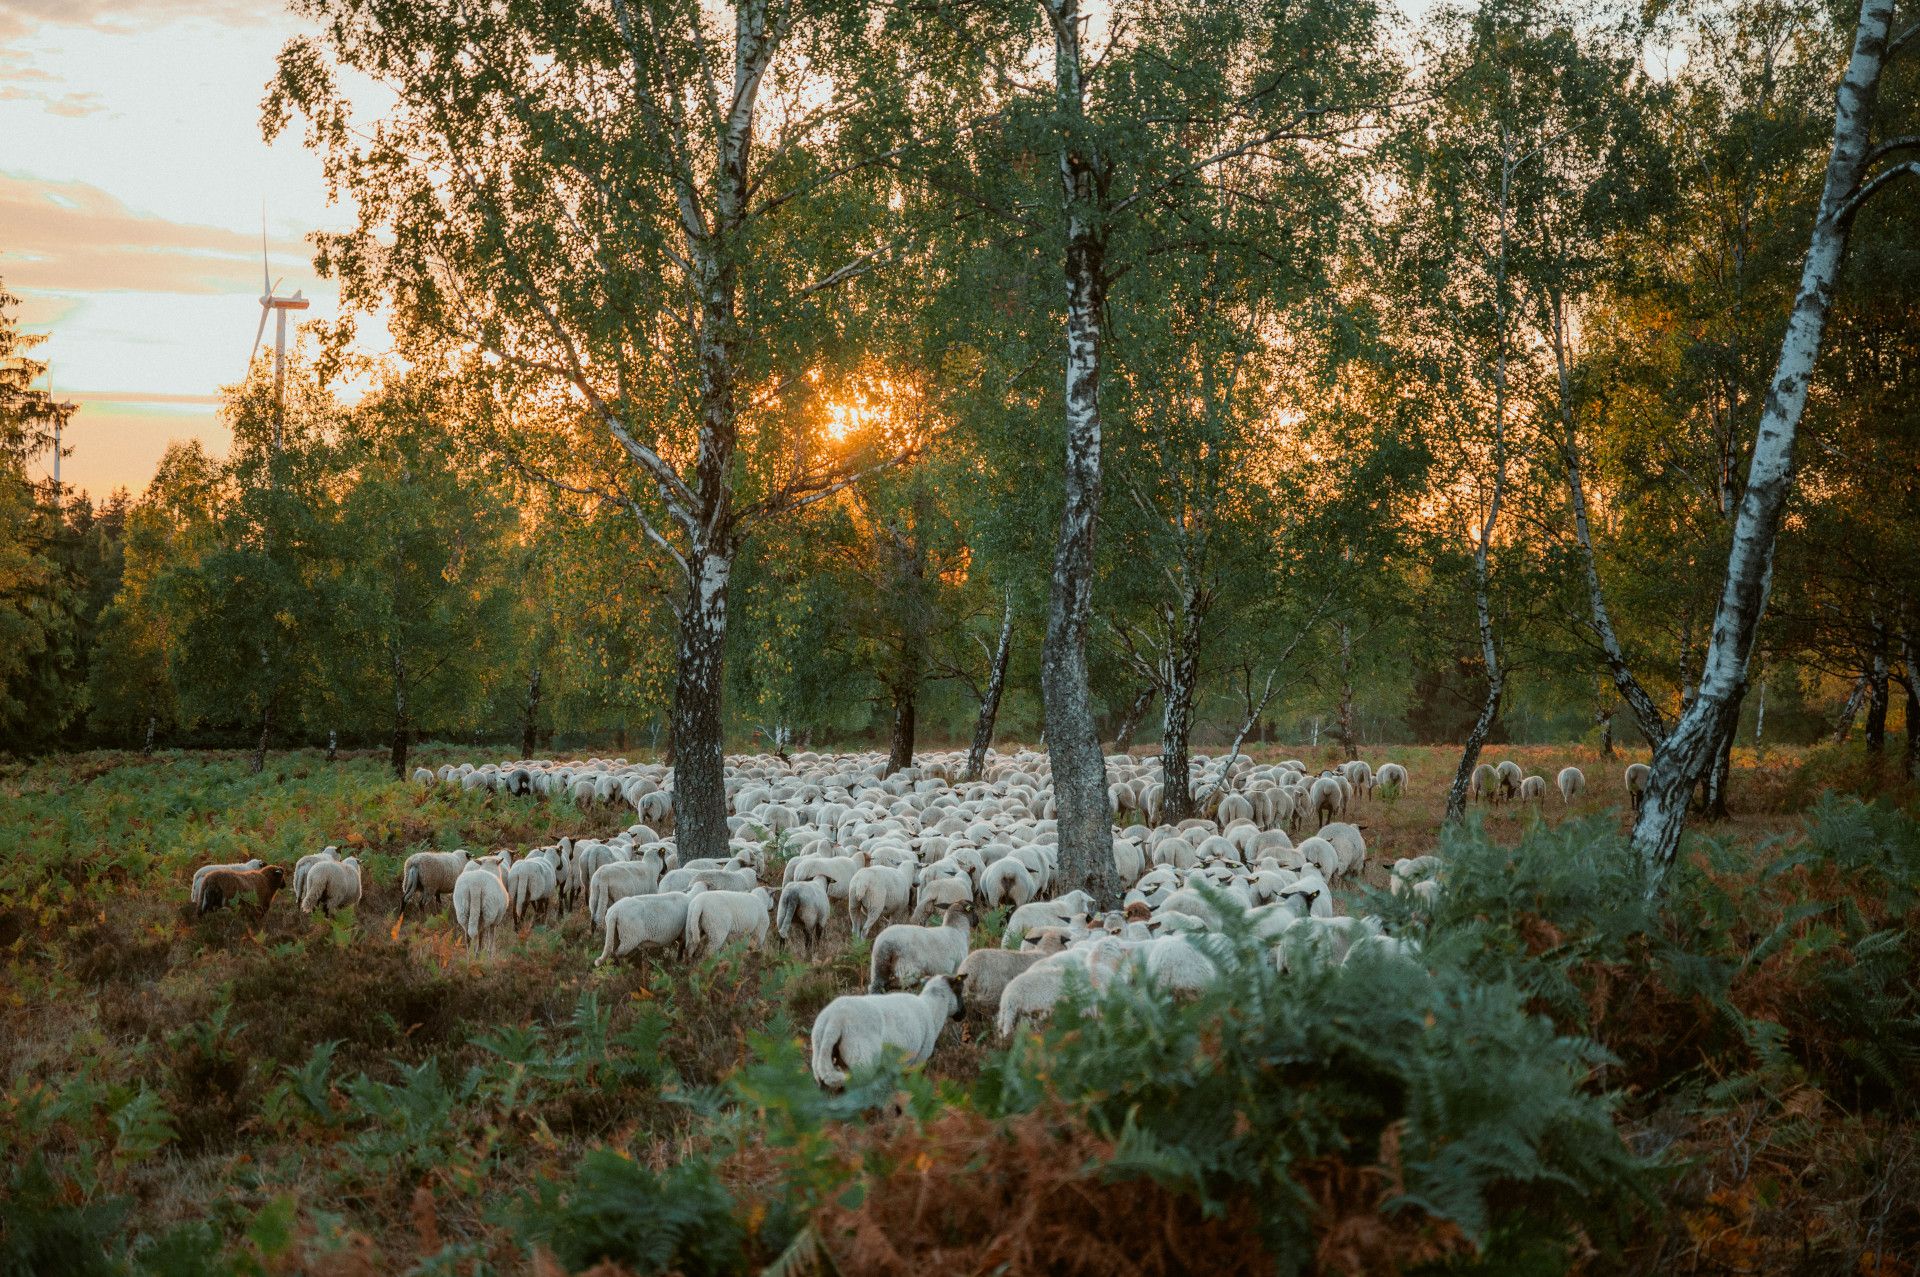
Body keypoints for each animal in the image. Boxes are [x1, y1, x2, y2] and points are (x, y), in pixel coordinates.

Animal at [806, 975, 960, 1083]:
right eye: (960, 990)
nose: (962, 1015)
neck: (931, 1008)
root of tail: (834, 1019)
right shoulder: (917, 1062)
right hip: (863, 1062)